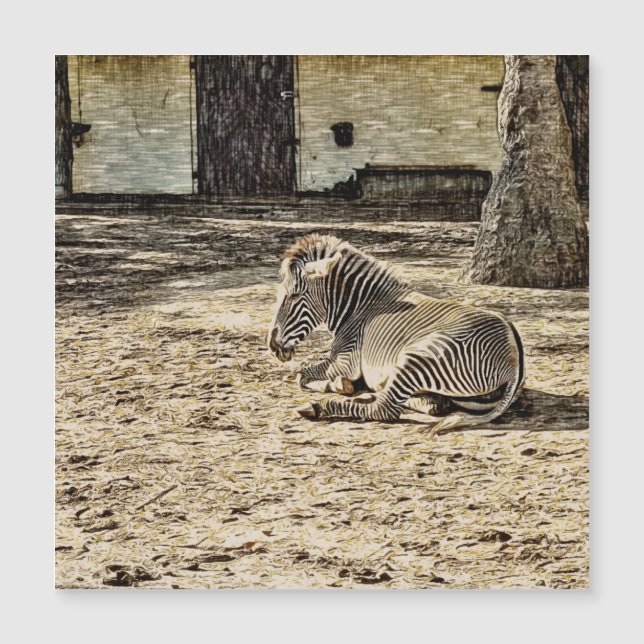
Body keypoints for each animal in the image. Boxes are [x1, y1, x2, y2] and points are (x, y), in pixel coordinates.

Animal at [267, 234, 525, 437]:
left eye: (294, 295)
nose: (272, 345)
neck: (360, 307)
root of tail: (513, 355)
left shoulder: (344, 361)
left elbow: (301, 374)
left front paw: (338, 385)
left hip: (417, 356)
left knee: (385, 409)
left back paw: (320, 407)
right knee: (424, 403)